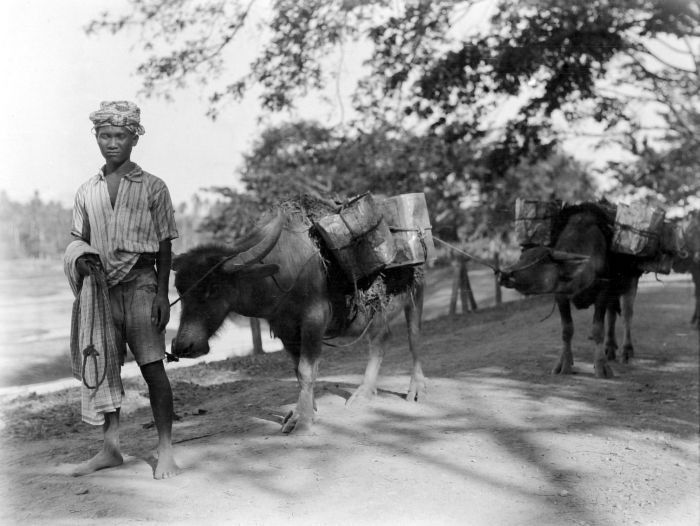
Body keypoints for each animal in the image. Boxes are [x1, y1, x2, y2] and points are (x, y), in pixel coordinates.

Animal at [170, 204, 426, 436]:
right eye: (179, 289)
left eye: (213, 288)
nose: (183, 346)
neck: (280, 274)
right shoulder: (285, 330)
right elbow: (299, 371)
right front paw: (302, 412)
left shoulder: (313, 321)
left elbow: (306, 369)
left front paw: (303, 421)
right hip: (376, 313)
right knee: (381, 339)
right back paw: (365, 392)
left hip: (416, 293)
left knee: (414, 337)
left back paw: (416, 388)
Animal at [498, 203, 640, 380]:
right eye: (521, 258)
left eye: (537, 261)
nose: (504, 274)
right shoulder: (560, 295)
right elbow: (567, 329)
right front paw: (564, 364)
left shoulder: (602, 291)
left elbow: (597, 329)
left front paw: (601, 367)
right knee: (612, 314)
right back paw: (610, 347)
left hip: (631, 282)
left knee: (627, 314)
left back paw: (626, 351)